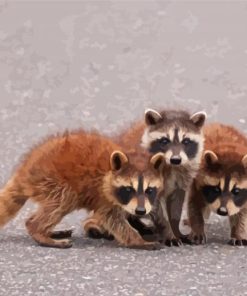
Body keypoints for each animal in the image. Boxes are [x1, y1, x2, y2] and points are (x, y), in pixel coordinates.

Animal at [0, 131, 166, 249]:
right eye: (128, 189)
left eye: (149, 190)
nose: (140, 211)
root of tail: (25, 170)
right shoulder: (103, 194)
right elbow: (113, 219)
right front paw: (136, 239)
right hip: (52, 180)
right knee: (63, 200)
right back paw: (38, 229)